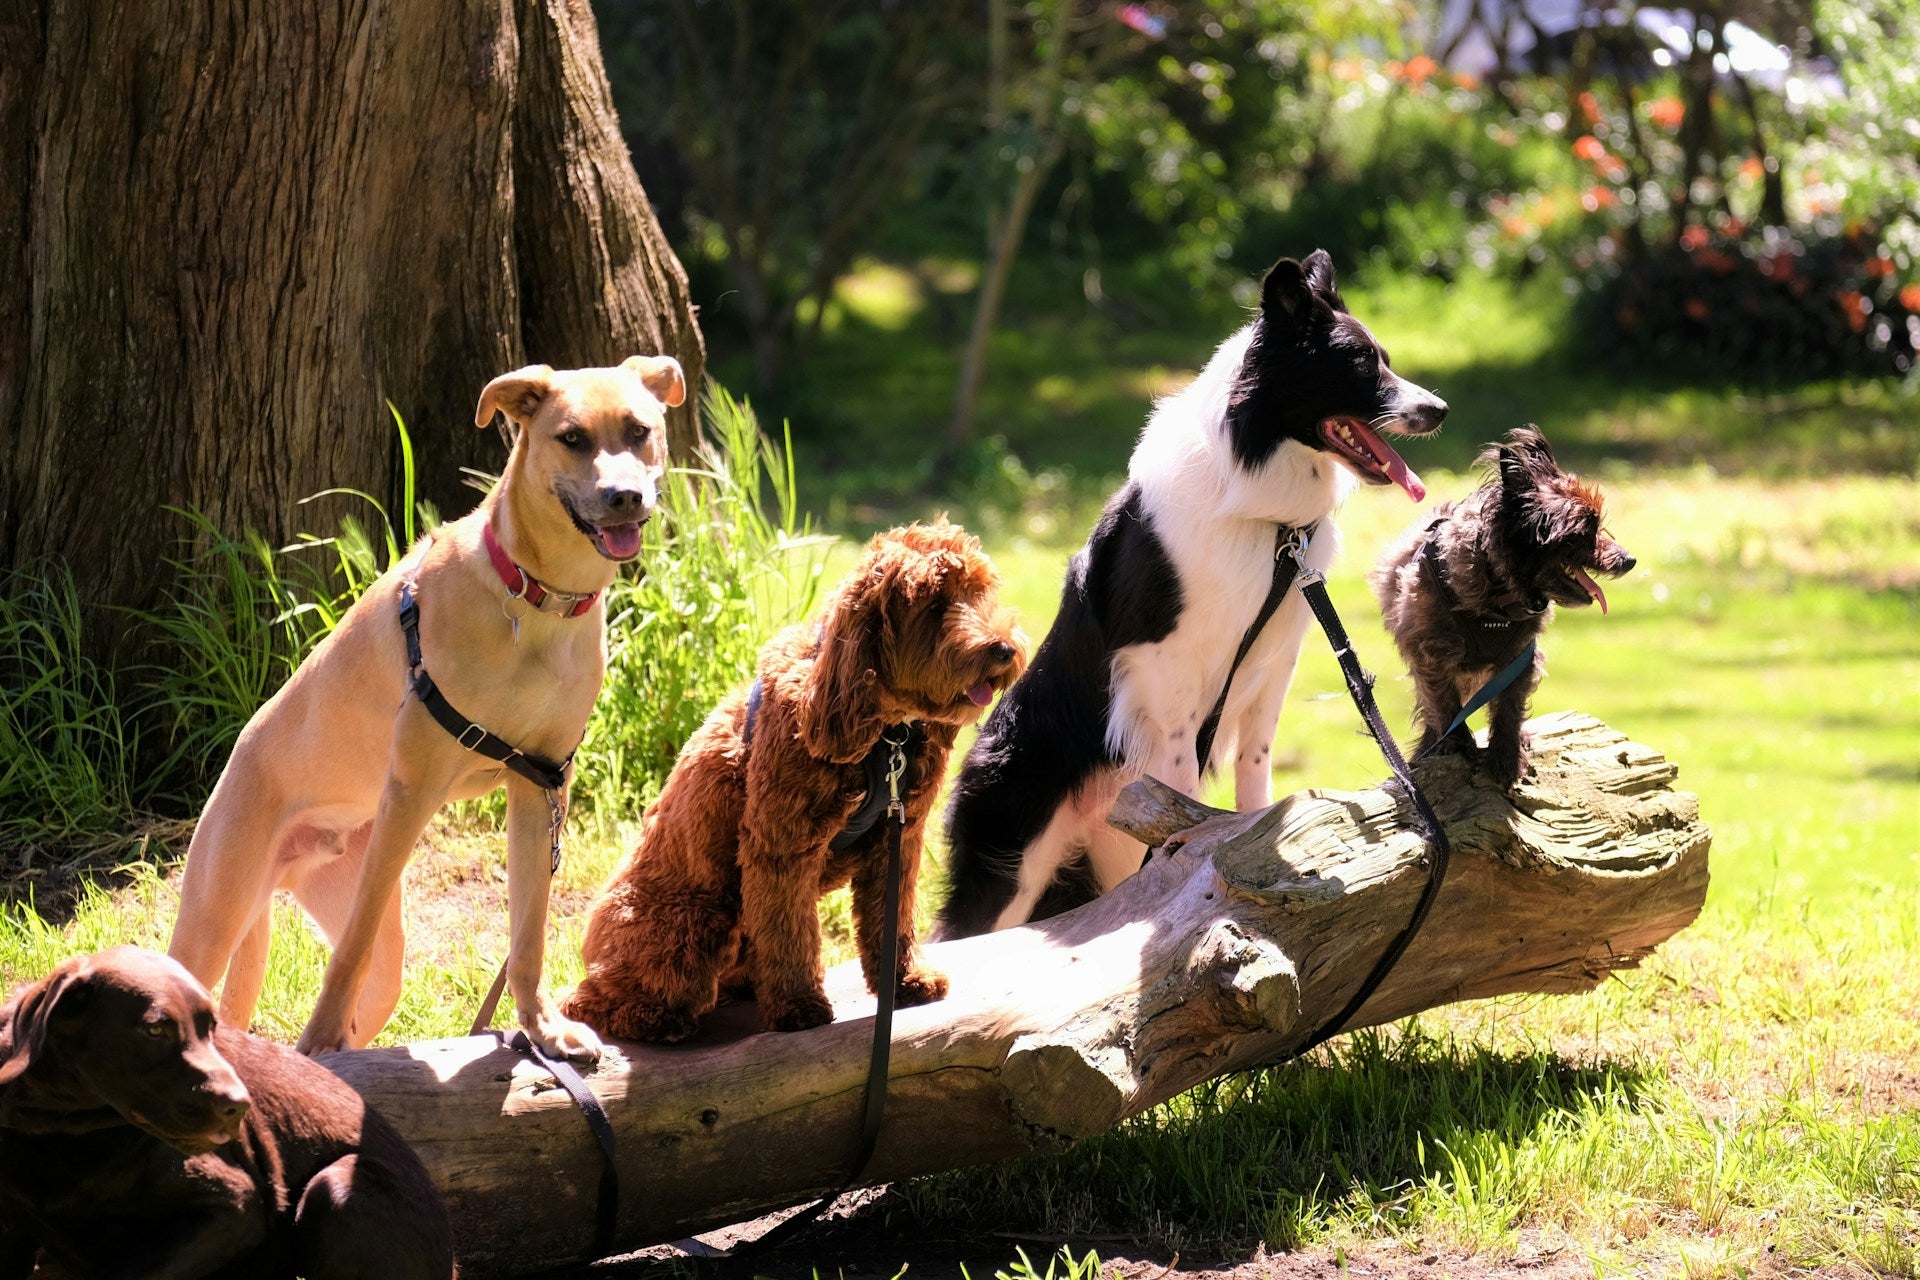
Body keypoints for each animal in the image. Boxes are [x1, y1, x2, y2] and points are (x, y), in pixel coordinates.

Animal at [168, 355, 687, 1059]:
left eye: (639, 430)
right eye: (573, 437)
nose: (624, 497)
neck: (535, 599)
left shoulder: (541, 786)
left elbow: (528, 933)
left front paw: (542, 1029)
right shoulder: (411, 792)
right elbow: (348, 953)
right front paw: (319, 1038)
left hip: (378, 947)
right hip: (216, 917)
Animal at [560, 521, 1029, 1043]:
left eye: (980, 592)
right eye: (934, 605)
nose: (1004, 649)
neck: (883, 733)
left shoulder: (898, 839)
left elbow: (892, 919)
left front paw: (905, 980)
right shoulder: (781, 844)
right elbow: (789, 932)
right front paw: (798, 1005)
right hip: (693, 924)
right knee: (584, 1002)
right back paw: (656, 1019)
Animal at [936, 249, 1443, 936]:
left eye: (1384, 358)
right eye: (1363, 364)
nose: (1440, 410)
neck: (1264, 516)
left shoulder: (1274, 659)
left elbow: (1256, 764)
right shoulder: (1163, 665)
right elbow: (1179, 776)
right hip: (1014, 862)